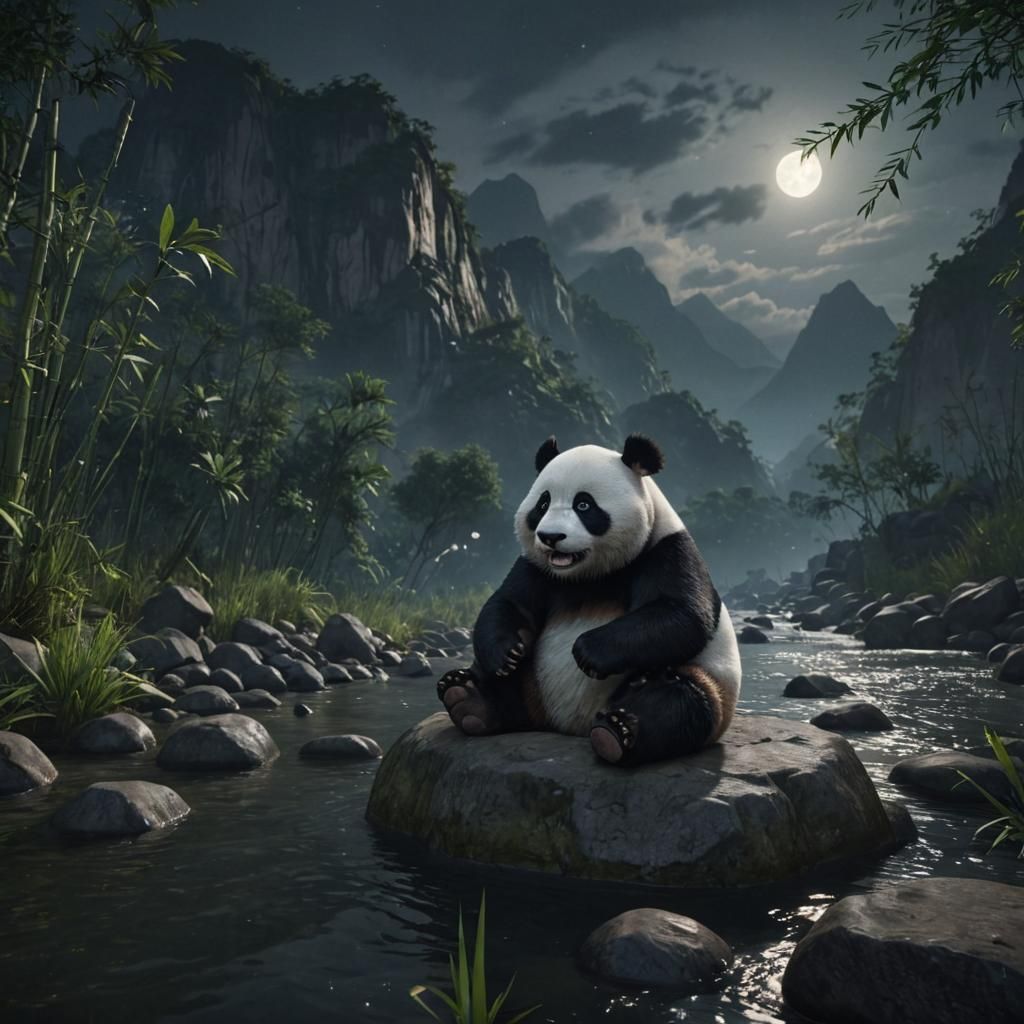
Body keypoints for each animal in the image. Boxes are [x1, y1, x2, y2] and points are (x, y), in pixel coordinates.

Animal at [437, 433, 741, 767]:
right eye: (543, 503)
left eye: (583, 504)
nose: (550, 537)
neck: (589, 576)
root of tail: (567, 725)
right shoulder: (537, 568)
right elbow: (508, 603)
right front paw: (505, 655)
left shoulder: (666, 550)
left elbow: (682, 615)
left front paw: (587, 652)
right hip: (532, 682)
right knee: (511, 687)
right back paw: (468, 699)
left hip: (707, 683)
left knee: (679, 701)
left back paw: (616, 732)